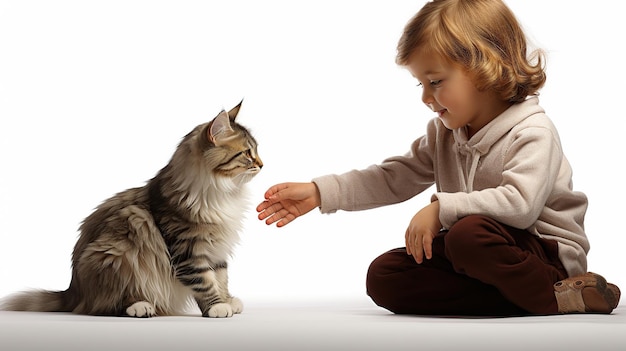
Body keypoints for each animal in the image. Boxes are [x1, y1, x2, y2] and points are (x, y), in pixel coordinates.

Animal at [0, 102, 260, 320]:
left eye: (256, 150)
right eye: (247, 153)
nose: (262, 164)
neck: (223, 191)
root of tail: (73, 290)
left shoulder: (217, 251)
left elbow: (221, 278)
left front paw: (228, 300)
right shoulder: (188, 249)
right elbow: (204, 282)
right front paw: (217, 307)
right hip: (120, 247)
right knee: (103, 306)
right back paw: (140, 307)